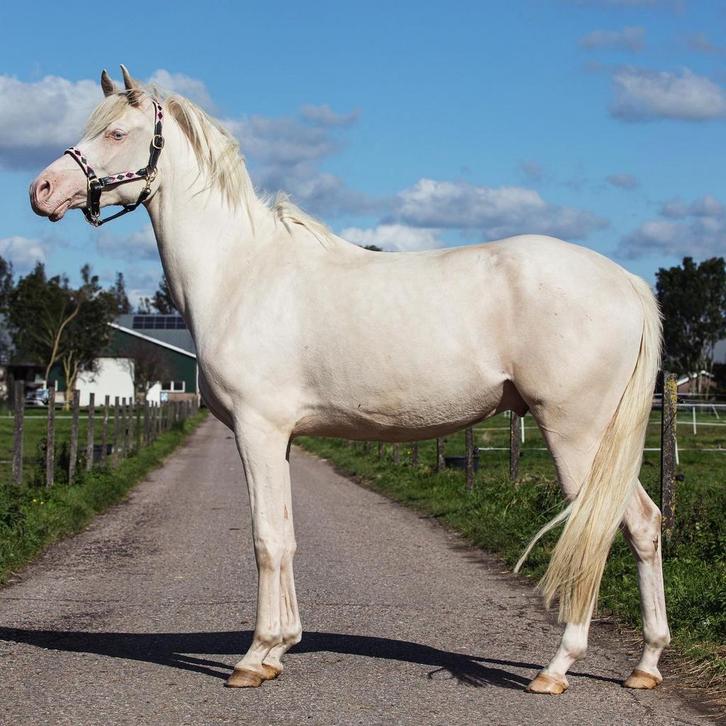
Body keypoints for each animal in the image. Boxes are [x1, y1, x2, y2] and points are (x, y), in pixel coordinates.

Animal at [29, 66, 670, 695]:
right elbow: (287, 536)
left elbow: (265, 539)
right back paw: (645, 665)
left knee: (600, 530)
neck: (241, 273)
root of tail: (626, 282)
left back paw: (556, 668)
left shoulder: (257, 430)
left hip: (576, 435)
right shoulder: (280, 438)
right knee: (644, 524)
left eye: (117, 133)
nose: (42, 191)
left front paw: (252, 657)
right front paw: (279, 649)